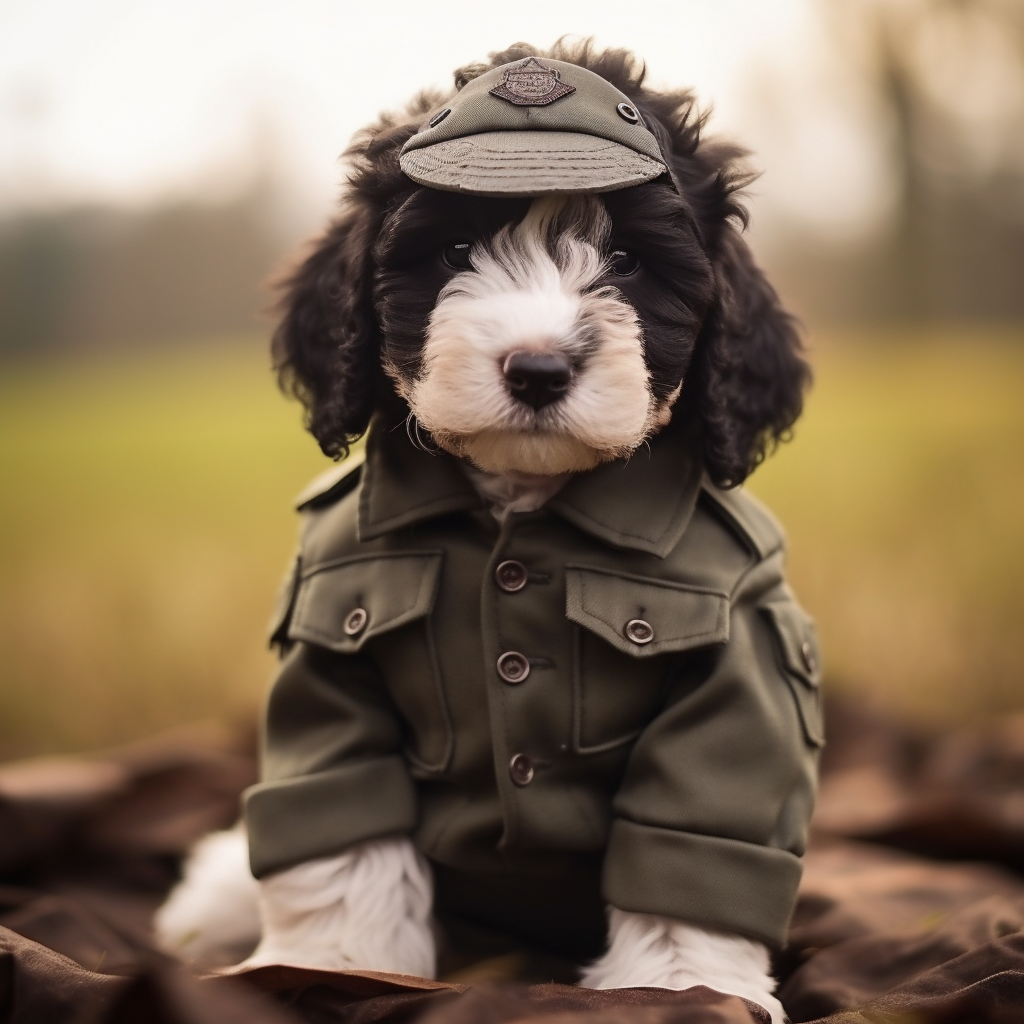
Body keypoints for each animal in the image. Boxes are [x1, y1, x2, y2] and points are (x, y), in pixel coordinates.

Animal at [153, 41, 823, 1024]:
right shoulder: (331, 643)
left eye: (627, 259)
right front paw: (335, 969)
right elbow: (342, 823)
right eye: (457, 250)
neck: (521, 501)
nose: (538, 369)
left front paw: (680, 988)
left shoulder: (742, 656)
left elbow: (696, 828)